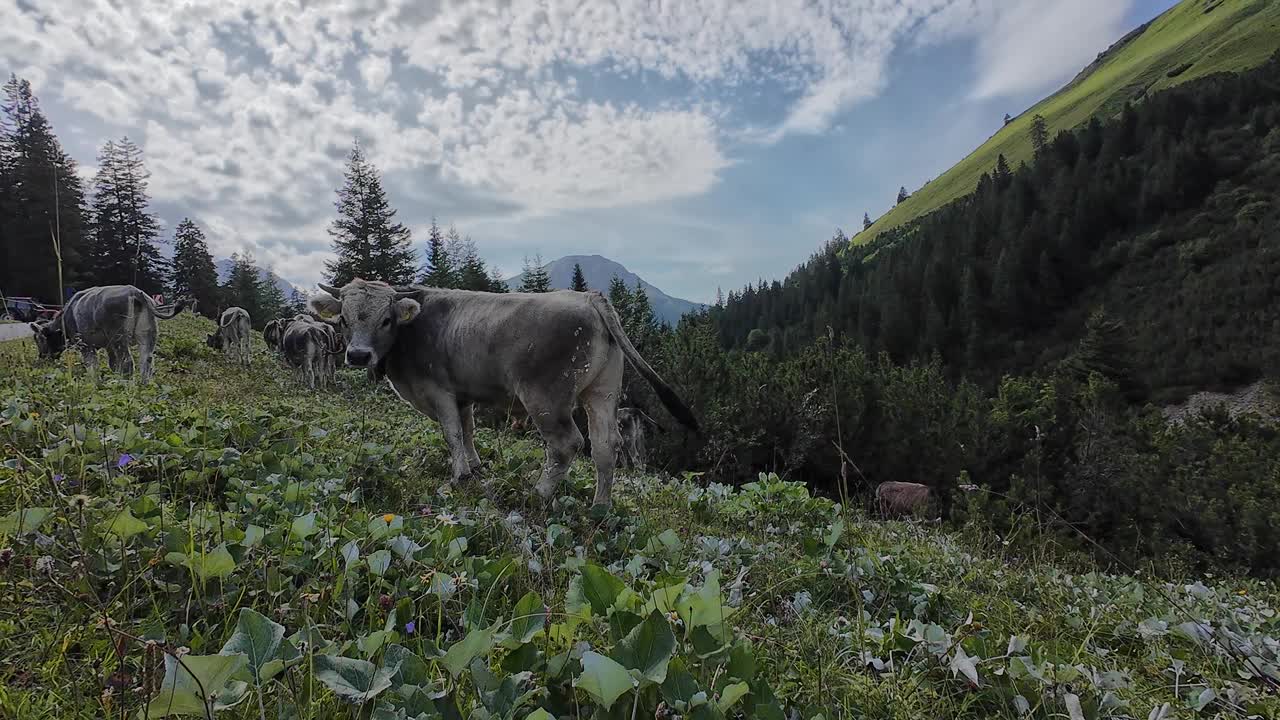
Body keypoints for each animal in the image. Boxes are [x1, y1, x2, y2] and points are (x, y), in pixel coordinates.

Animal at [30, 283, 190, 381]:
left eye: (39, 339)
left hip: (119, 338)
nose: (42, 357)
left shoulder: (85, 345)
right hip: (147, 334)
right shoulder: (109, 346)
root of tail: (135, 291)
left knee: (127, 363)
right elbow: (113, 364)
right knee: (147, 363)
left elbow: (92, 366)